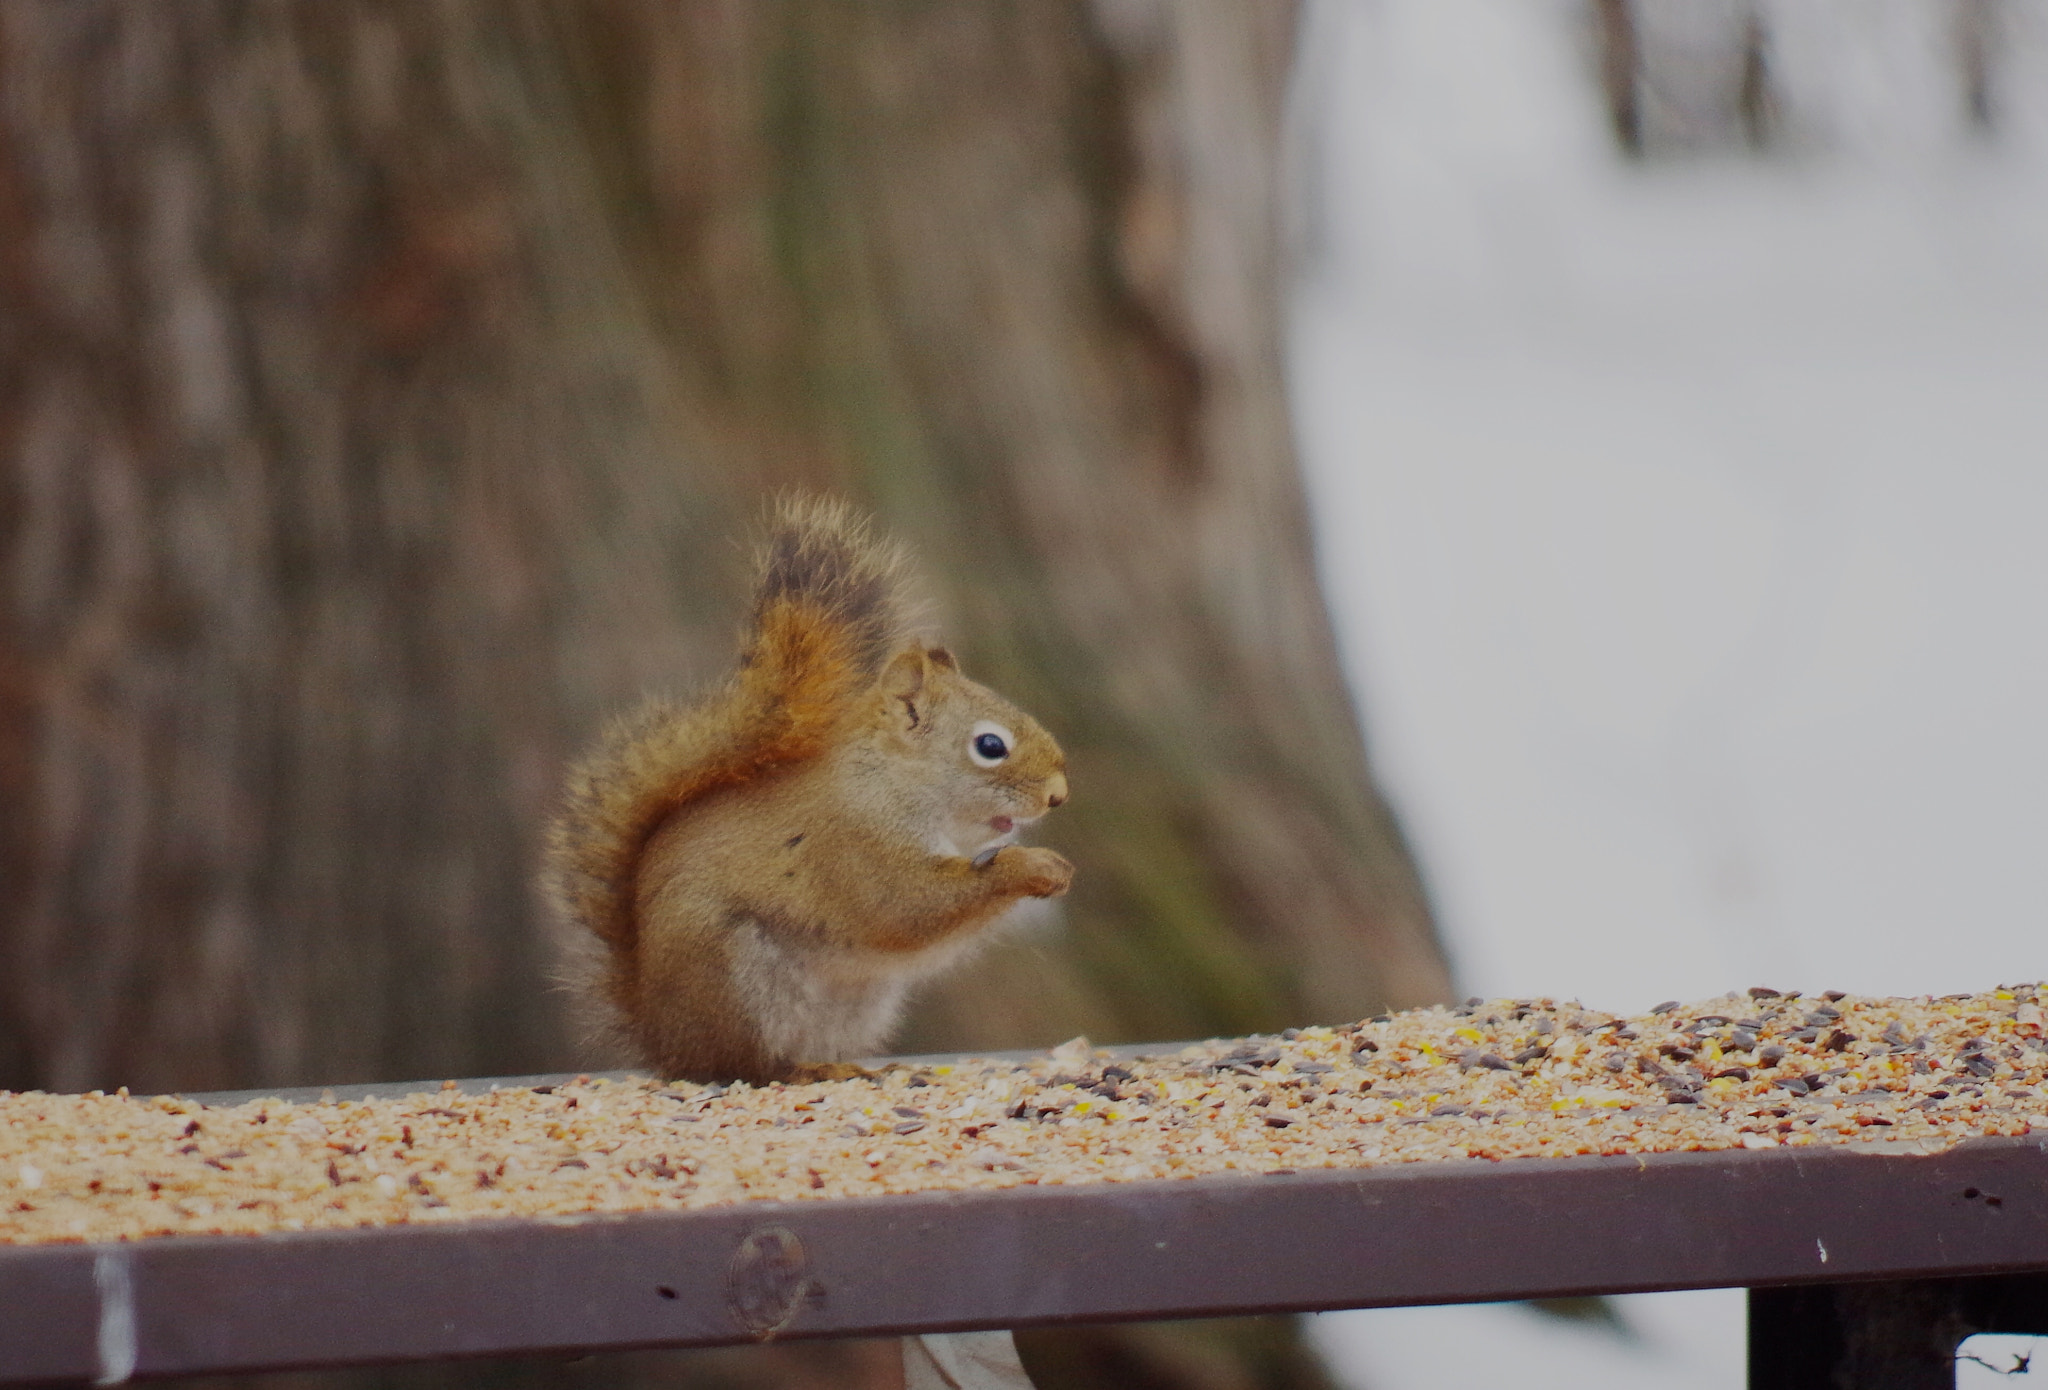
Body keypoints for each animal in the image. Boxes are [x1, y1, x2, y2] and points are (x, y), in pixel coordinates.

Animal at [552, 499, 1081, 1089]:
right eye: (990, 746)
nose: (1058, 795)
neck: (894, 780)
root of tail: (662, 1039)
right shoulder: (855, 844)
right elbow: (906, 907)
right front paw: (1033, 866)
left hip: (858, 1002)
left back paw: (863, 1065)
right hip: (735, 979)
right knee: (746, 1065)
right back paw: (802, 1071)